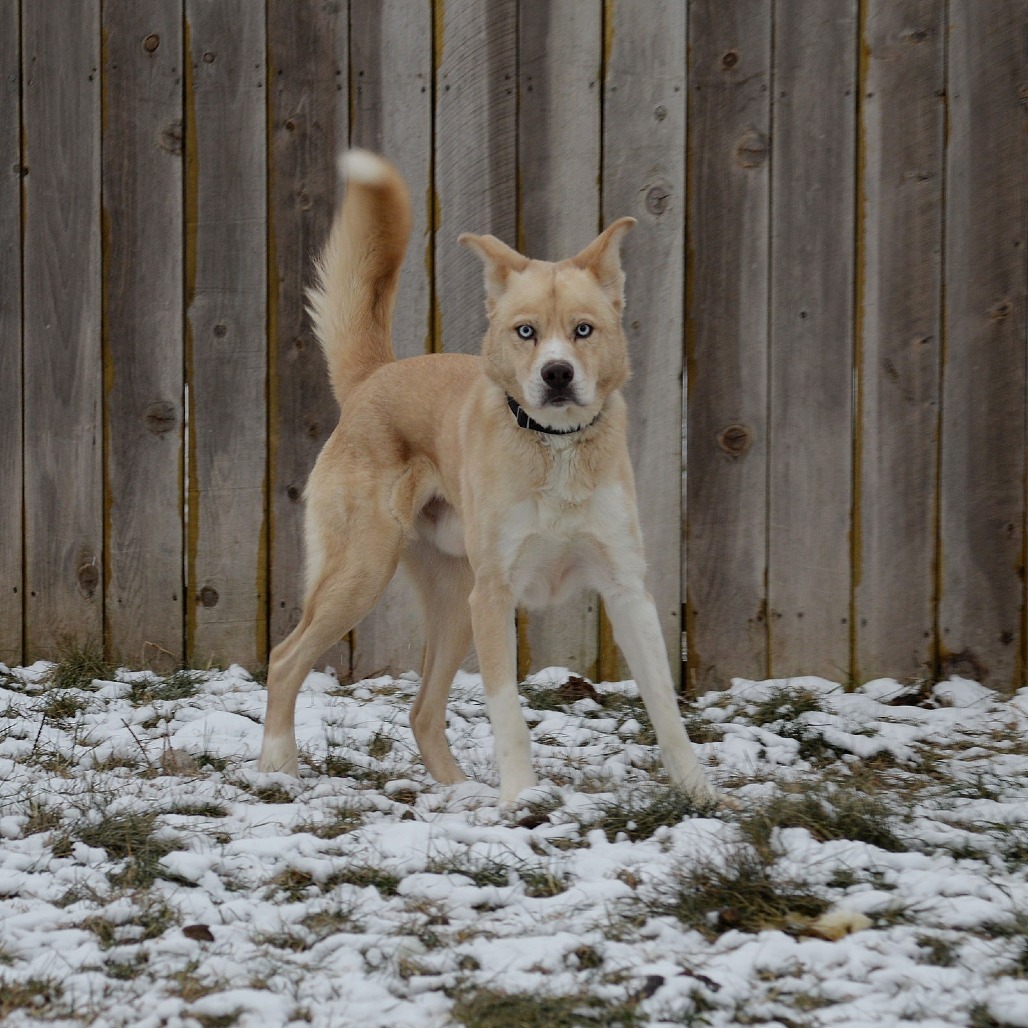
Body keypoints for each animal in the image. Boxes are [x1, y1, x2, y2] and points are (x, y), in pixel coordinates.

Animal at [259, 150, 715, 810]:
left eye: (583, 330)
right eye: (526, 331)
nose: (556, 374)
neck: (555, 448)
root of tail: (376, 376)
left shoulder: (627, 588)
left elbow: (665, 707)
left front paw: (702, 795)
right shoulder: (496, 595)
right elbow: (510, 716)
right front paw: (522, 801)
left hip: (454, 603)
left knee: (422, 710)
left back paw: (459, 795)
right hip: (365, 573)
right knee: (284, 658)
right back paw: (276, 768)